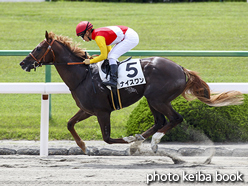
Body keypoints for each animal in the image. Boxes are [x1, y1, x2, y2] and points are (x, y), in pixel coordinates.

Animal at [19, 31, 242, 154]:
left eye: (38, 48)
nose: (23, 63)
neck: (82, 76)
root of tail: (181, 68)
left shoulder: (102, 112)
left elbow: (108, 138)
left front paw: (128, 141)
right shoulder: (87, 110)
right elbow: (69, 124)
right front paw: (84, 147)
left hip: (158, 98)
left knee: (175, 118)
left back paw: (150, 141)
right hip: (152, 99)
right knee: (160, 121)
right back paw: (142, 139)